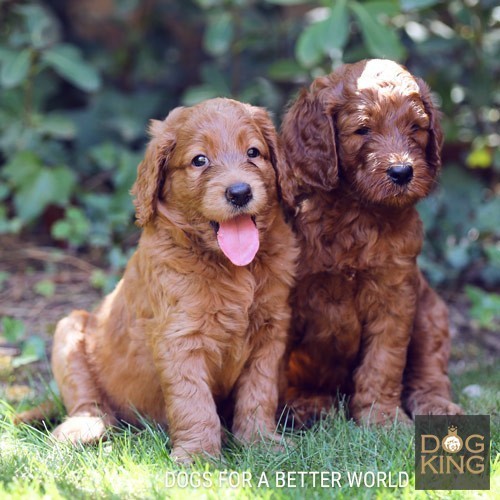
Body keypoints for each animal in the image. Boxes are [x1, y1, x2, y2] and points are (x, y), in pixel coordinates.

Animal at [280, 59, 462, 426]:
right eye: (363, 130)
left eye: (416, 127)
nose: (402, 172)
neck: (357, 211)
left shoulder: (395, 296)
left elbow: (384, 362)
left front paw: (382, 420)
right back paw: (307, 405)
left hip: (431, 312)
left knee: (430, 370)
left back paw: (437, 405)